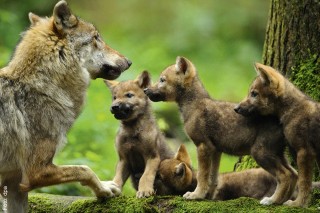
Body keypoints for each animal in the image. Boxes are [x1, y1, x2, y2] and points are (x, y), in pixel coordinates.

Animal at [0, 0, 131, 212]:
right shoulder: (36, 171)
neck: (42, 86)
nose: (129, 61)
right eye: (96, 38)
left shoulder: (13, 182)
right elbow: (84, 169)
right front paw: (104, 189)